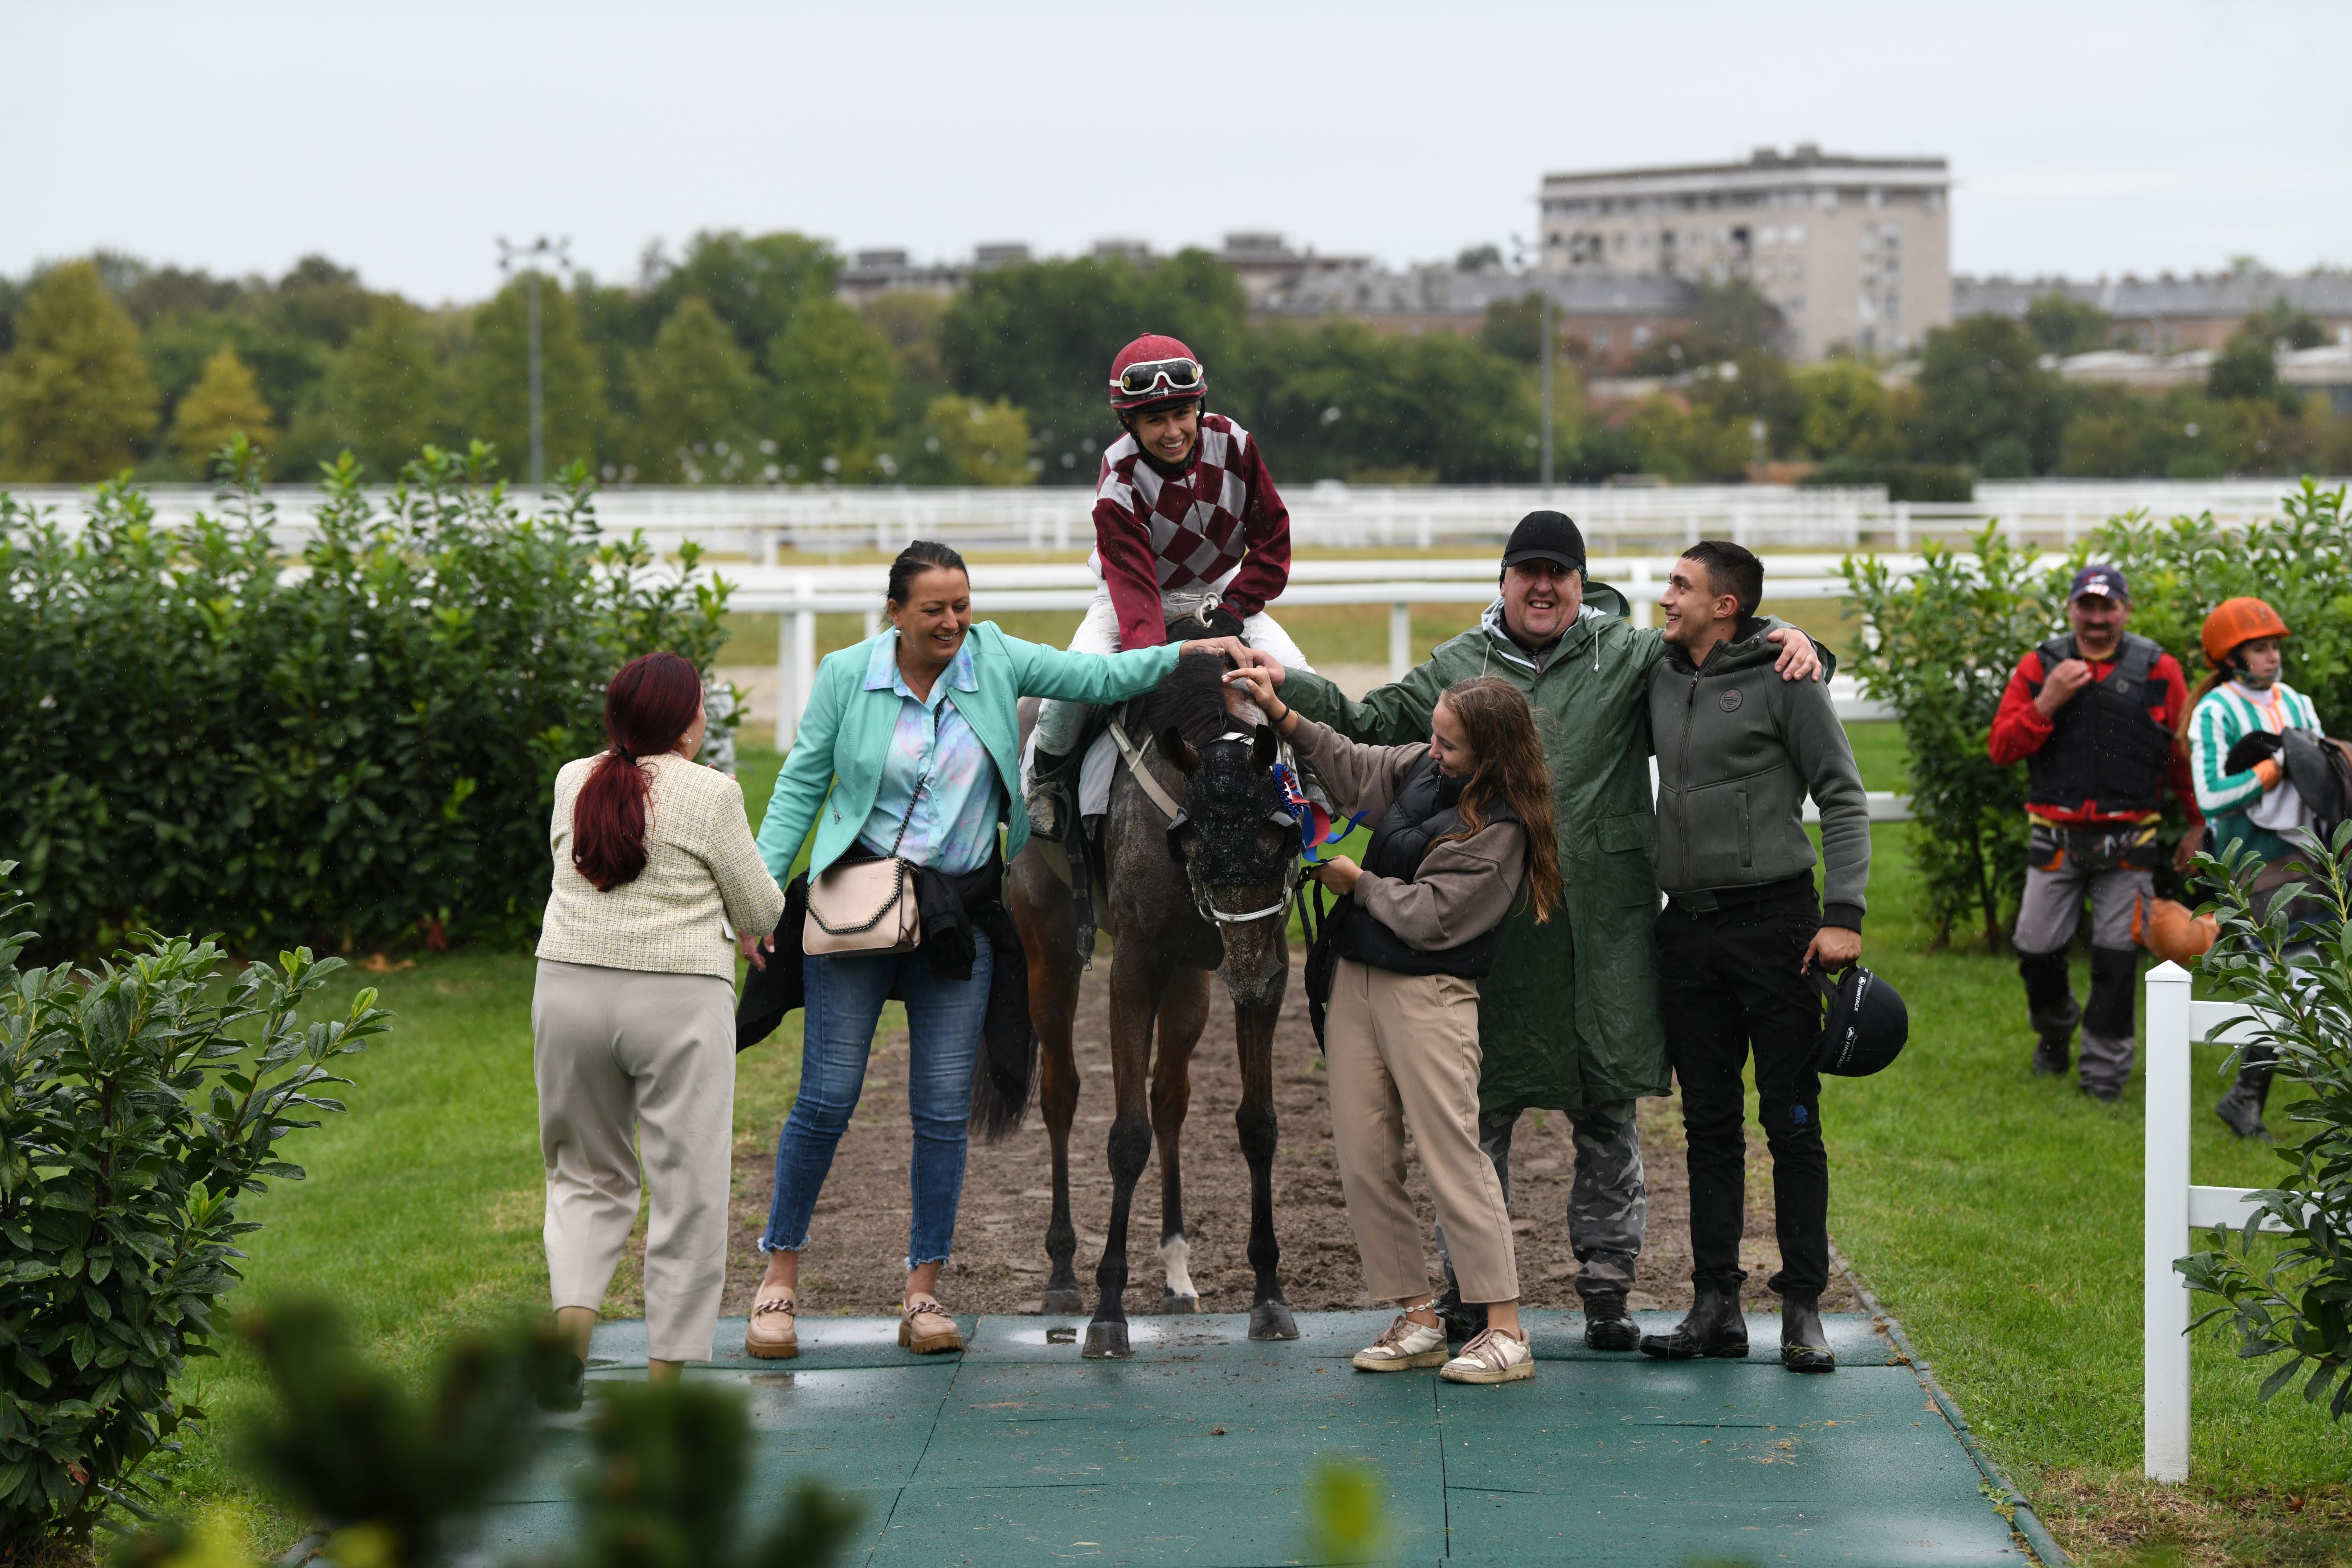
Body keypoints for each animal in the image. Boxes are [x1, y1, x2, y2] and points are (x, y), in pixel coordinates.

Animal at [1011, 648, 1308, 1363]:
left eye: (1277, 840)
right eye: (1192, 843)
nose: (1247, 973)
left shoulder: (1265, 970)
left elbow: (1257, 1124)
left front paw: (1269, 1295)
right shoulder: (1134, 969)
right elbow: (1126, 1136)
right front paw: (1108, 1312)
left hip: (1191, 984)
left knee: (1169, 1097)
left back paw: (1176, 1272)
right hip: (1050, 952)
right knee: (1061, 1094)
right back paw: (1062, 1274)